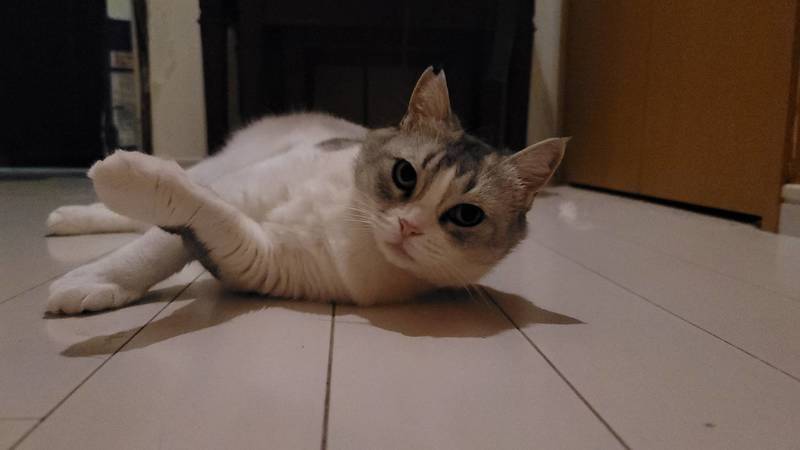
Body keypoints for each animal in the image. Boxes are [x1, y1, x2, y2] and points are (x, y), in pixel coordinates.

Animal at [45, 67, 567, 314]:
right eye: (405, 175)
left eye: (466, 216)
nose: (408, 226)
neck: (346, 226)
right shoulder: (238, 191)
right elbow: (156, 246)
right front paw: (96, 278)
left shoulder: (255, 258)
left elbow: (193, 220)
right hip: (221, 167)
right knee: (143, 211)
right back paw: (72, 211)